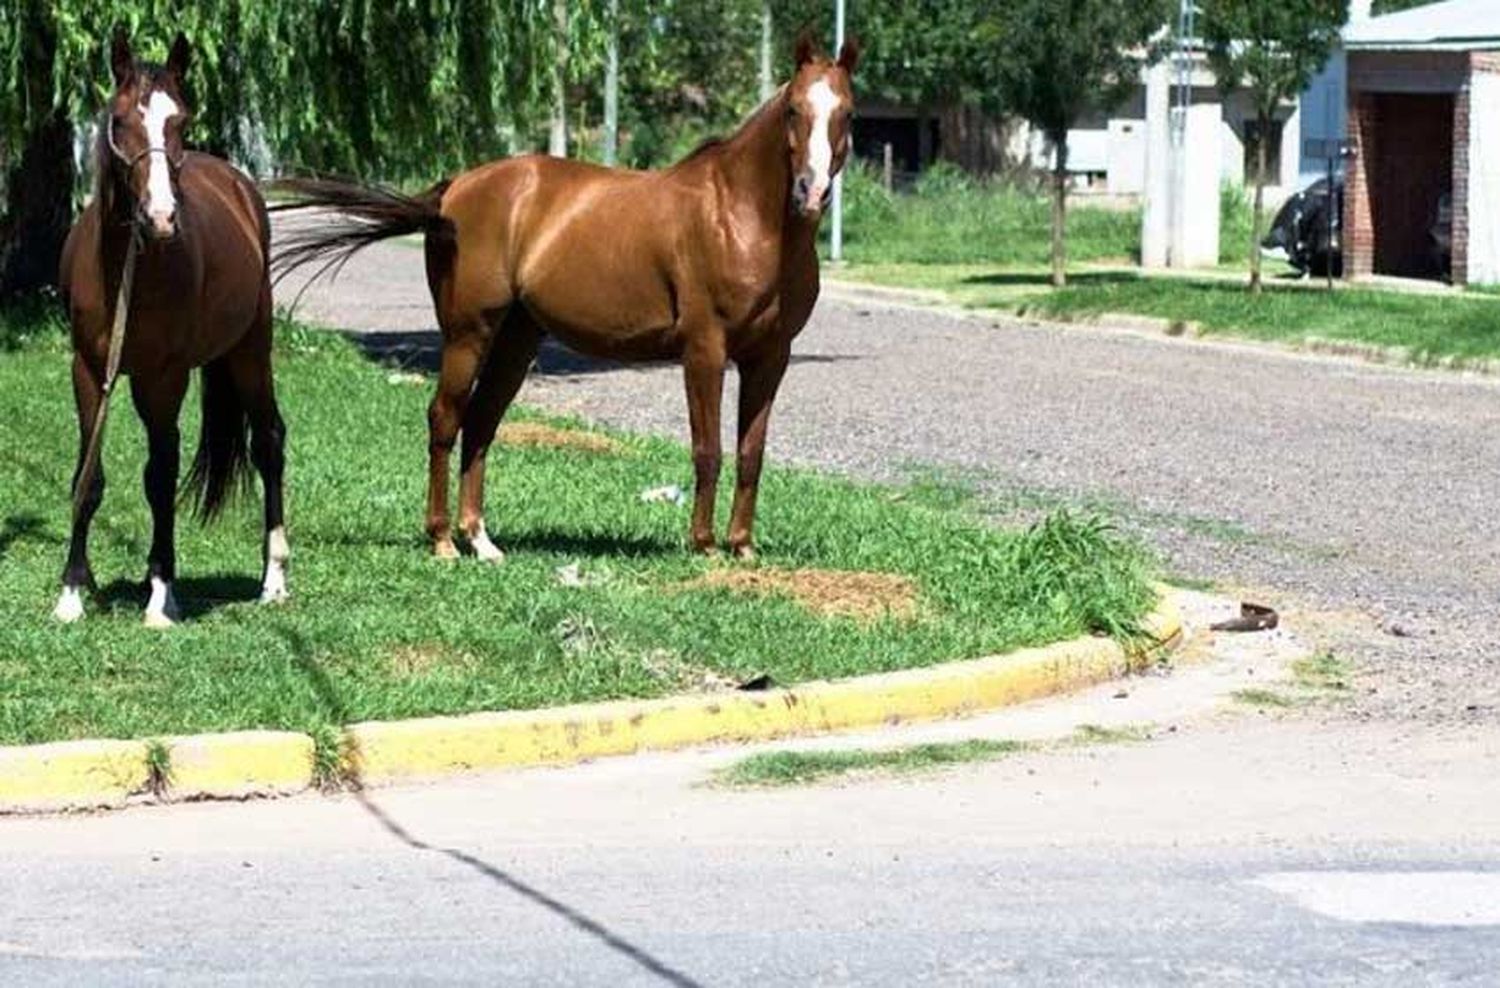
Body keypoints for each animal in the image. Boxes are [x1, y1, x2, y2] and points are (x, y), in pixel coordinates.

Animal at [54, 34, 286, 629]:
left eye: (181, 120)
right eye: (119, 120)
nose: (160, 217)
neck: (126, 268)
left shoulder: (164, 377)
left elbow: (159, 478)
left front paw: (163, 595)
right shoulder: (90, 370)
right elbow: (88, 476)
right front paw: (71, 591)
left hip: (251, 352)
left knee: (269, 441)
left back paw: (274, 580)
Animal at [277, 36, 864, 563]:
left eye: (847, 112)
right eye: (793, 109)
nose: (811, 192)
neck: (740, 217)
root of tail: (455, 190)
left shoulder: (771, 357)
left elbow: (751, 453)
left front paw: (741, 546)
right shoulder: (705, 350)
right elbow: (708, 450)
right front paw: (704, 546)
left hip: (516, 338)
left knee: (481, 423)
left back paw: (481, 542)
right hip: (468, 334)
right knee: (445, 419)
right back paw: (442, 541)